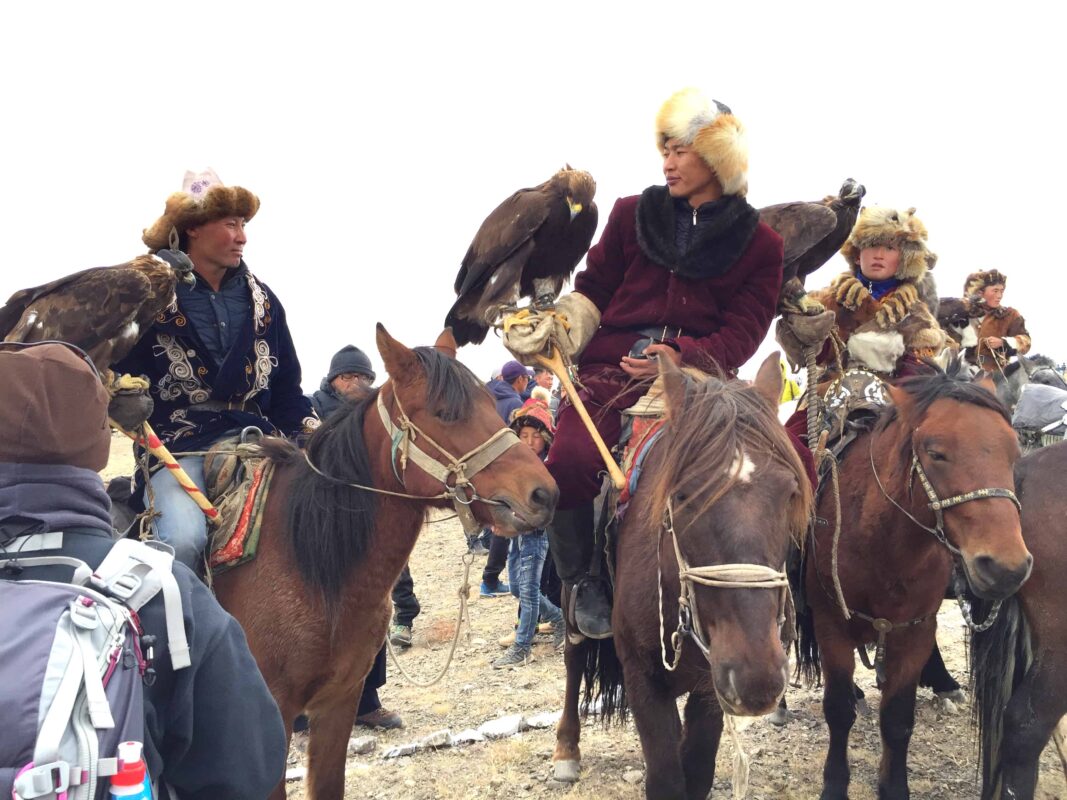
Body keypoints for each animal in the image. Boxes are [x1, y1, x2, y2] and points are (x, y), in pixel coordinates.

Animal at [211, 326, 554, 800]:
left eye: (491, 401)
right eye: (445, 413)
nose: (544, 493)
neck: (308, 565)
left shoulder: (340, 700)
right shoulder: (271, 716)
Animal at [554, 356, 810, 800]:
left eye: (790, 492)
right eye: (683, 495)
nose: (758, 678)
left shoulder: (712, 685)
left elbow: (698, 771)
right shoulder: (643, 680)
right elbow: (666, 779)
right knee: (574, 658)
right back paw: (566, 749)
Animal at [802, 369, 1032, 800]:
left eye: (1013, 452)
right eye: (935, 452)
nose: (1007, 567)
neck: (878, 541)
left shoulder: (915, 629)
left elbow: (897, 720)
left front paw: (893, 786)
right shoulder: (831, 625)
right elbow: (838, 710)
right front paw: (834, 784)